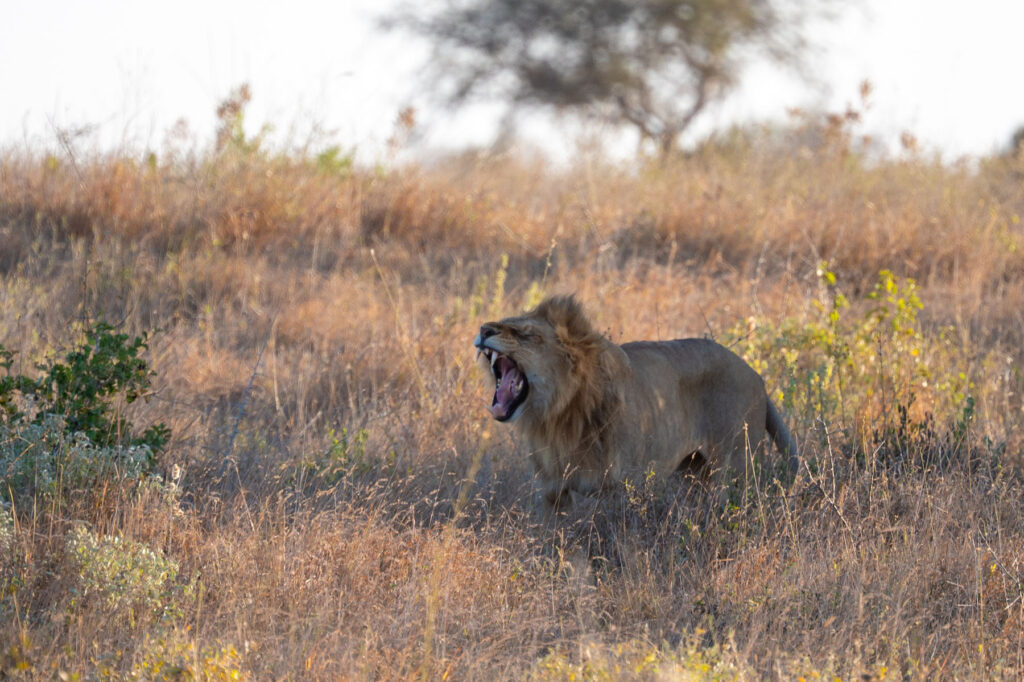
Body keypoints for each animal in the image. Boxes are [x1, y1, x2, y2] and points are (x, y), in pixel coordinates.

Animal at [474, 295, 797, 509]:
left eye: (525, 334)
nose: (483, 330)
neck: (556, 416)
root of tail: (756, 376)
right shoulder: (554, 492)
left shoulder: (619, 486)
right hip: (696, 472)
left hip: (735, 470)